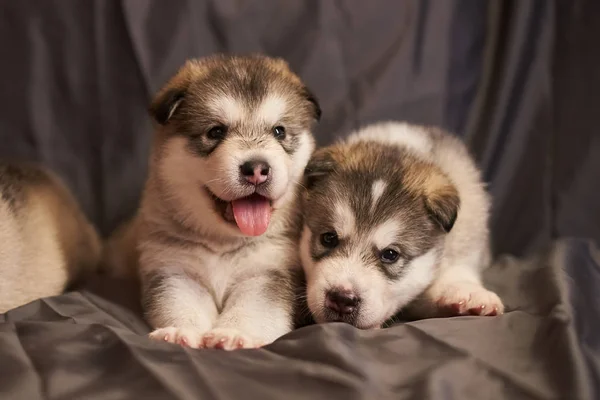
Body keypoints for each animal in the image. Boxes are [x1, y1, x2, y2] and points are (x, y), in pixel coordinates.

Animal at [103, 55, 322, 350]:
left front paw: (234, 333)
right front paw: (181, 331)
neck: (223, 243)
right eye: (216, 132)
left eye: (279, 131)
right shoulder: (176, 270)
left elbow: (254, 308)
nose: (257, 168)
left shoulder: (267, 272)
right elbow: (182, 304)